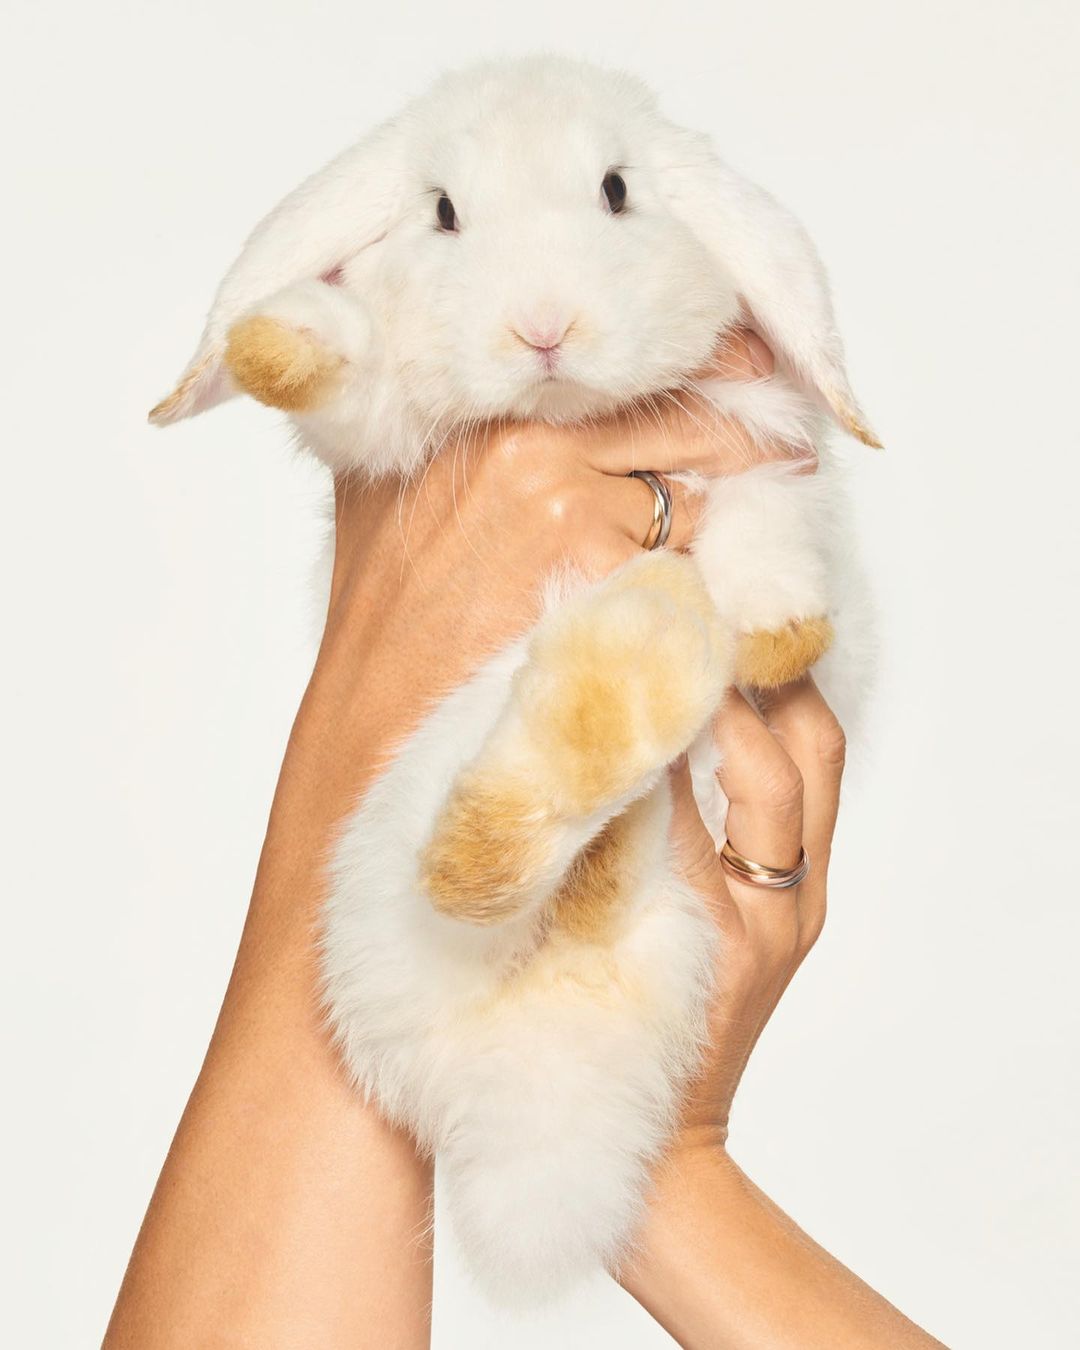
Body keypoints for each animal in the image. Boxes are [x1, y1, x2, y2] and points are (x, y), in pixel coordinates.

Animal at [150, 54, 879, 1305]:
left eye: (619, 190)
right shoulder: (384, 427)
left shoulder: (768, 434)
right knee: (479, 877)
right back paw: (603, 702)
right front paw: (282, 344)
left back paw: (631, 669)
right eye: (443, 211)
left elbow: (770, 519)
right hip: (390, 865)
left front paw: (781, 628)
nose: (543, 327)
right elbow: (361, 376)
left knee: (564, 882)